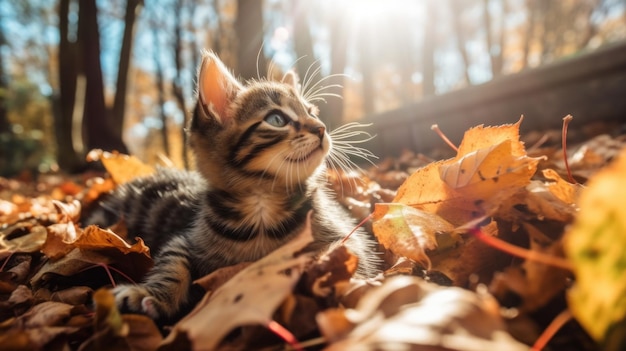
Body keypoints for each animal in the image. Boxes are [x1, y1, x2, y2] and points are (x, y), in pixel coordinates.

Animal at [85, 51, 378, 324]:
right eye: (277, 119)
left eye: (311, 111)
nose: (321, 128)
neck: (262, 205)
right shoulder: (186, 237)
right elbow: (172, 262)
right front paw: (150, 294)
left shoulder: (346, 236)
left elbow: (347, 256)